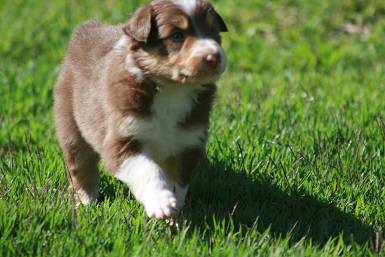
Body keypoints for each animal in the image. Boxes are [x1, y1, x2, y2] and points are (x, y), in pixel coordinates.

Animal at [54, 0, 228, 218]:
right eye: (176, 35)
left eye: (213, 31)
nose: (215, 57)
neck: (172, 91)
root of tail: (89, 28)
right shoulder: (122, 139)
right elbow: (148, 170)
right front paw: (161, 203)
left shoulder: (187, 144)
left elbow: (178, 183)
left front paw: (175, 211)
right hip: (70, 124)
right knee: (81, 166)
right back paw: (85, 203)